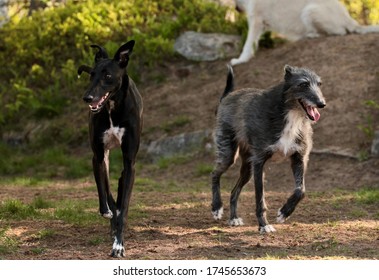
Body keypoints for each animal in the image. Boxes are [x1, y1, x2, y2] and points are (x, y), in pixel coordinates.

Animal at [78, 40, 143, 258]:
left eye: (107, 76)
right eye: (92, 75)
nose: (87, 97)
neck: (113, 107)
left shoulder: (130, 161)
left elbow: (124, 207)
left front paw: (119, 245)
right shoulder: (98, 156)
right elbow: (106, 193)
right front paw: (109, 213)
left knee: (122, 184)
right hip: (101, 158)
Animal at [212, 64, 328, 233]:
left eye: (319, 84)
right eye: (303, 84)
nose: (321, 103)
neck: (290, 114)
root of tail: (227, 96)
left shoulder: (299, 158)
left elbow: (301, 190)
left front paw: (284, 212)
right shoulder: (259, 162)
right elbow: (260, 199)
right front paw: (264, 225)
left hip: (248, 168)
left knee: (234, 192)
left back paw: (233, 218)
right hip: (228, 154)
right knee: (215, 174)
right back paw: (216, 208)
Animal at [232, 0, 379, 64]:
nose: (236, 8)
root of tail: (349, 18)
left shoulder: (256, 20)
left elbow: (247, 45)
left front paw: (240, 60)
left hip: (309, 10)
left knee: (340, 32)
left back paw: (310, 35)